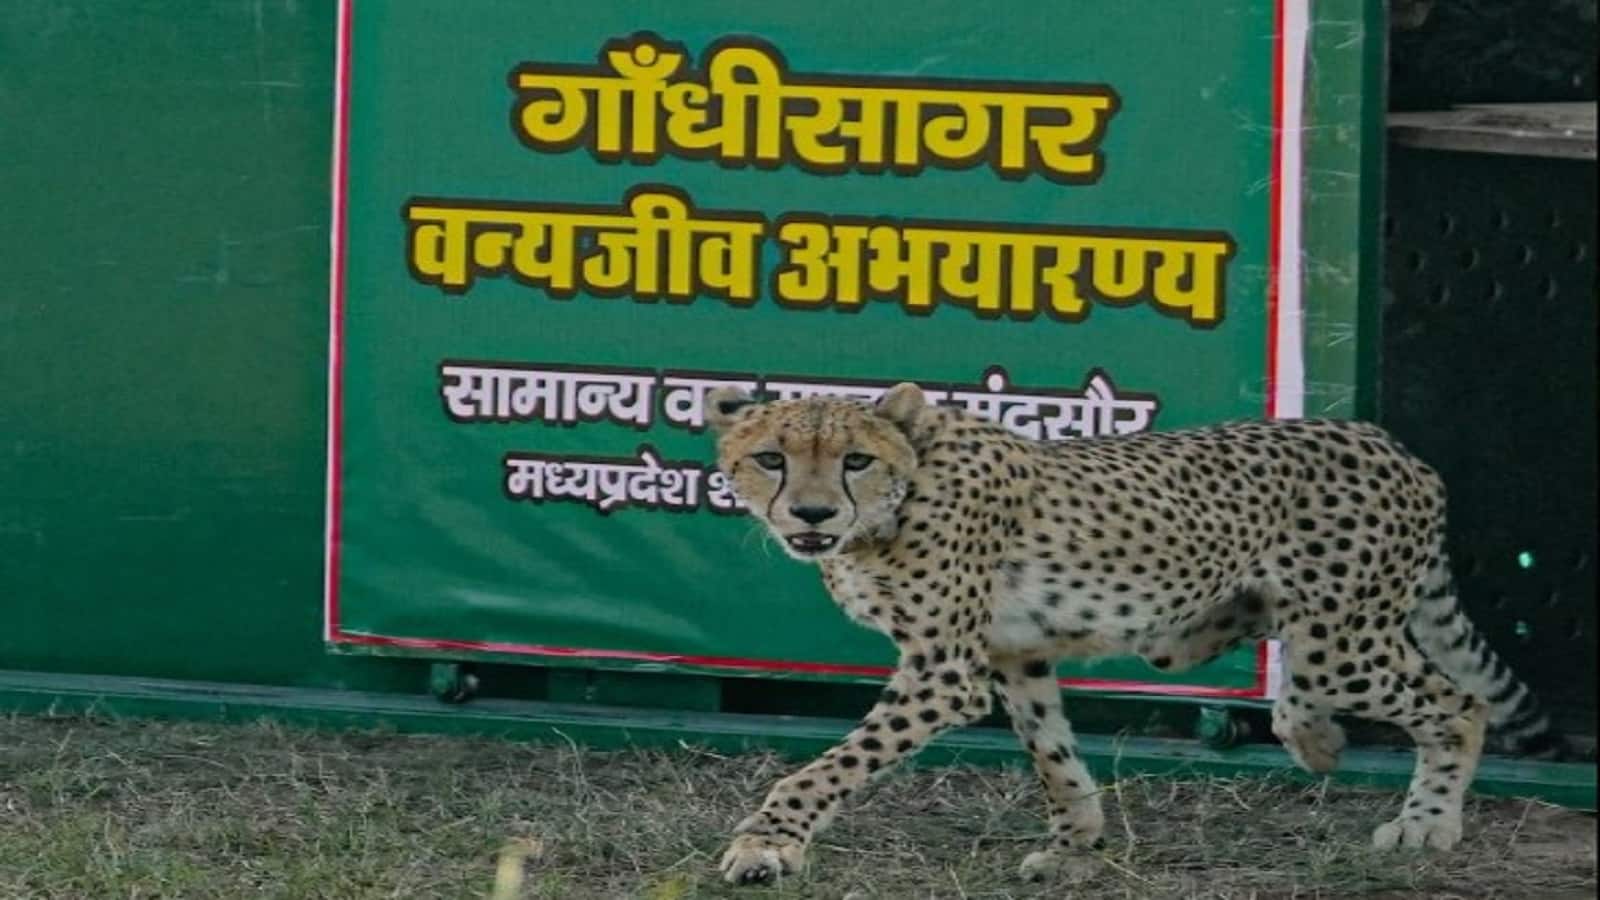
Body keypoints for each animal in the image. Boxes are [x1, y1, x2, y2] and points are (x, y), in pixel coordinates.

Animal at [701, 382, 1563, 885]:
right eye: (770, 458)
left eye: (854, 460)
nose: (812, 513)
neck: (896, 501)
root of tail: (1386, 441)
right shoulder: (1017, 653)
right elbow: (1054, 756)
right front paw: (1075, 844)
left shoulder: (944, 670)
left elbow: (828, 767)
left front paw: (768, 843)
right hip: (1219, 632)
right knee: (1297, 685)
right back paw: (1318, 742)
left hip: (1340, 642)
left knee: (1457, 704)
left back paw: (1426, 822)